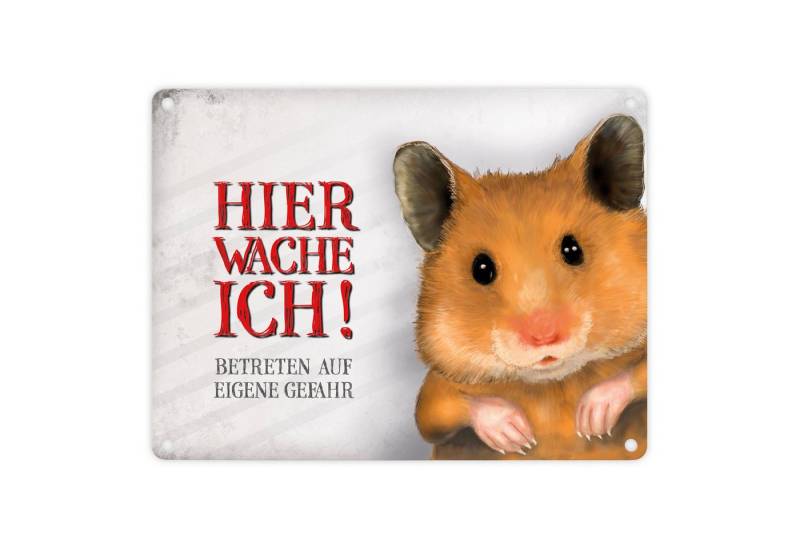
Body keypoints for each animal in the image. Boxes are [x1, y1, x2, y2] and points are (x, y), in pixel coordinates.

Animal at [393, 115, 647, 459]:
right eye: (481, 269)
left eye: (573, 250)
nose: (544, 337)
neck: (552, 384)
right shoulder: (433, 392)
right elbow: (442, 408)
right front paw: (518, 437)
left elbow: (636, 373)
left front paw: (591, 420)